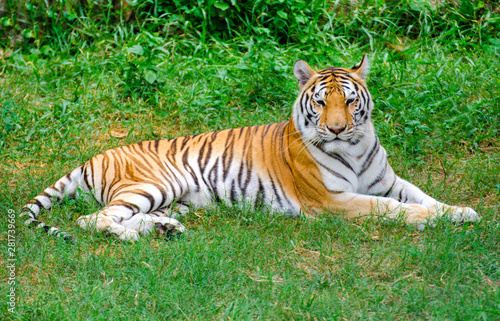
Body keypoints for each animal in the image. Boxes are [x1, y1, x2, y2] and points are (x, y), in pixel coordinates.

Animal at [20, 55, 480, 240]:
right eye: (320, 101)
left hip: (175, 198)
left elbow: (423, 195)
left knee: (118, 215)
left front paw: (461, 212)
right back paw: (132, 238)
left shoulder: (386, 180)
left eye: (350, 101)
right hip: (154, 184)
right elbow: (394, 208)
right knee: (90, 219)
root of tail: (94, 155)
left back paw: (166, 229)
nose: (335, 129)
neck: (354, 145)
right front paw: (429, 219)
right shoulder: (333, 200)